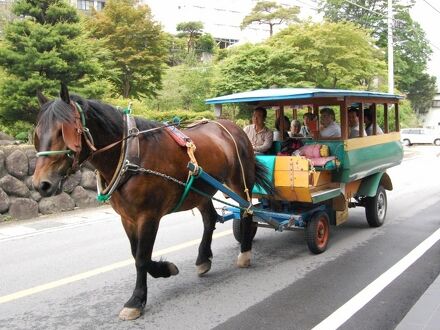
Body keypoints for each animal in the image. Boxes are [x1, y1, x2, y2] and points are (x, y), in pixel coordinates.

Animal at [32, 84, 274, 320]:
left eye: (64, 131)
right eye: (36, 134)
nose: (40, 184)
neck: (131, 156)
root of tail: (231, 126)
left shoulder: (148, 216)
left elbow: (141, 257)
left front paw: (136, 300)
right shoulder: (127, 217)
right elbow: (136, 253)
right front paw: (165, 269)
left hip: (240, 180)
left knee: (247, 211)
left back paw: (245, 252)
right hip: (200, 190)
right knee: (210, 219)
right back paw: (203, 258)